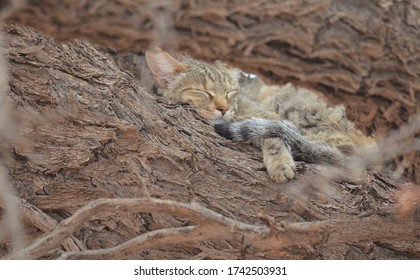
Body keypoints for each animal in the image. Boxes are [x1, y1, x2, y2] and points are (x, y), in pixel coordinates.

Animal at [145, 47, 374, 184]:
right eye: (203, 92)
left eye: (230, 92)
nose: (224, 108)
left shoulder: (269, 115)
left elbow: (273, 137)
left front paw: (280, 163)